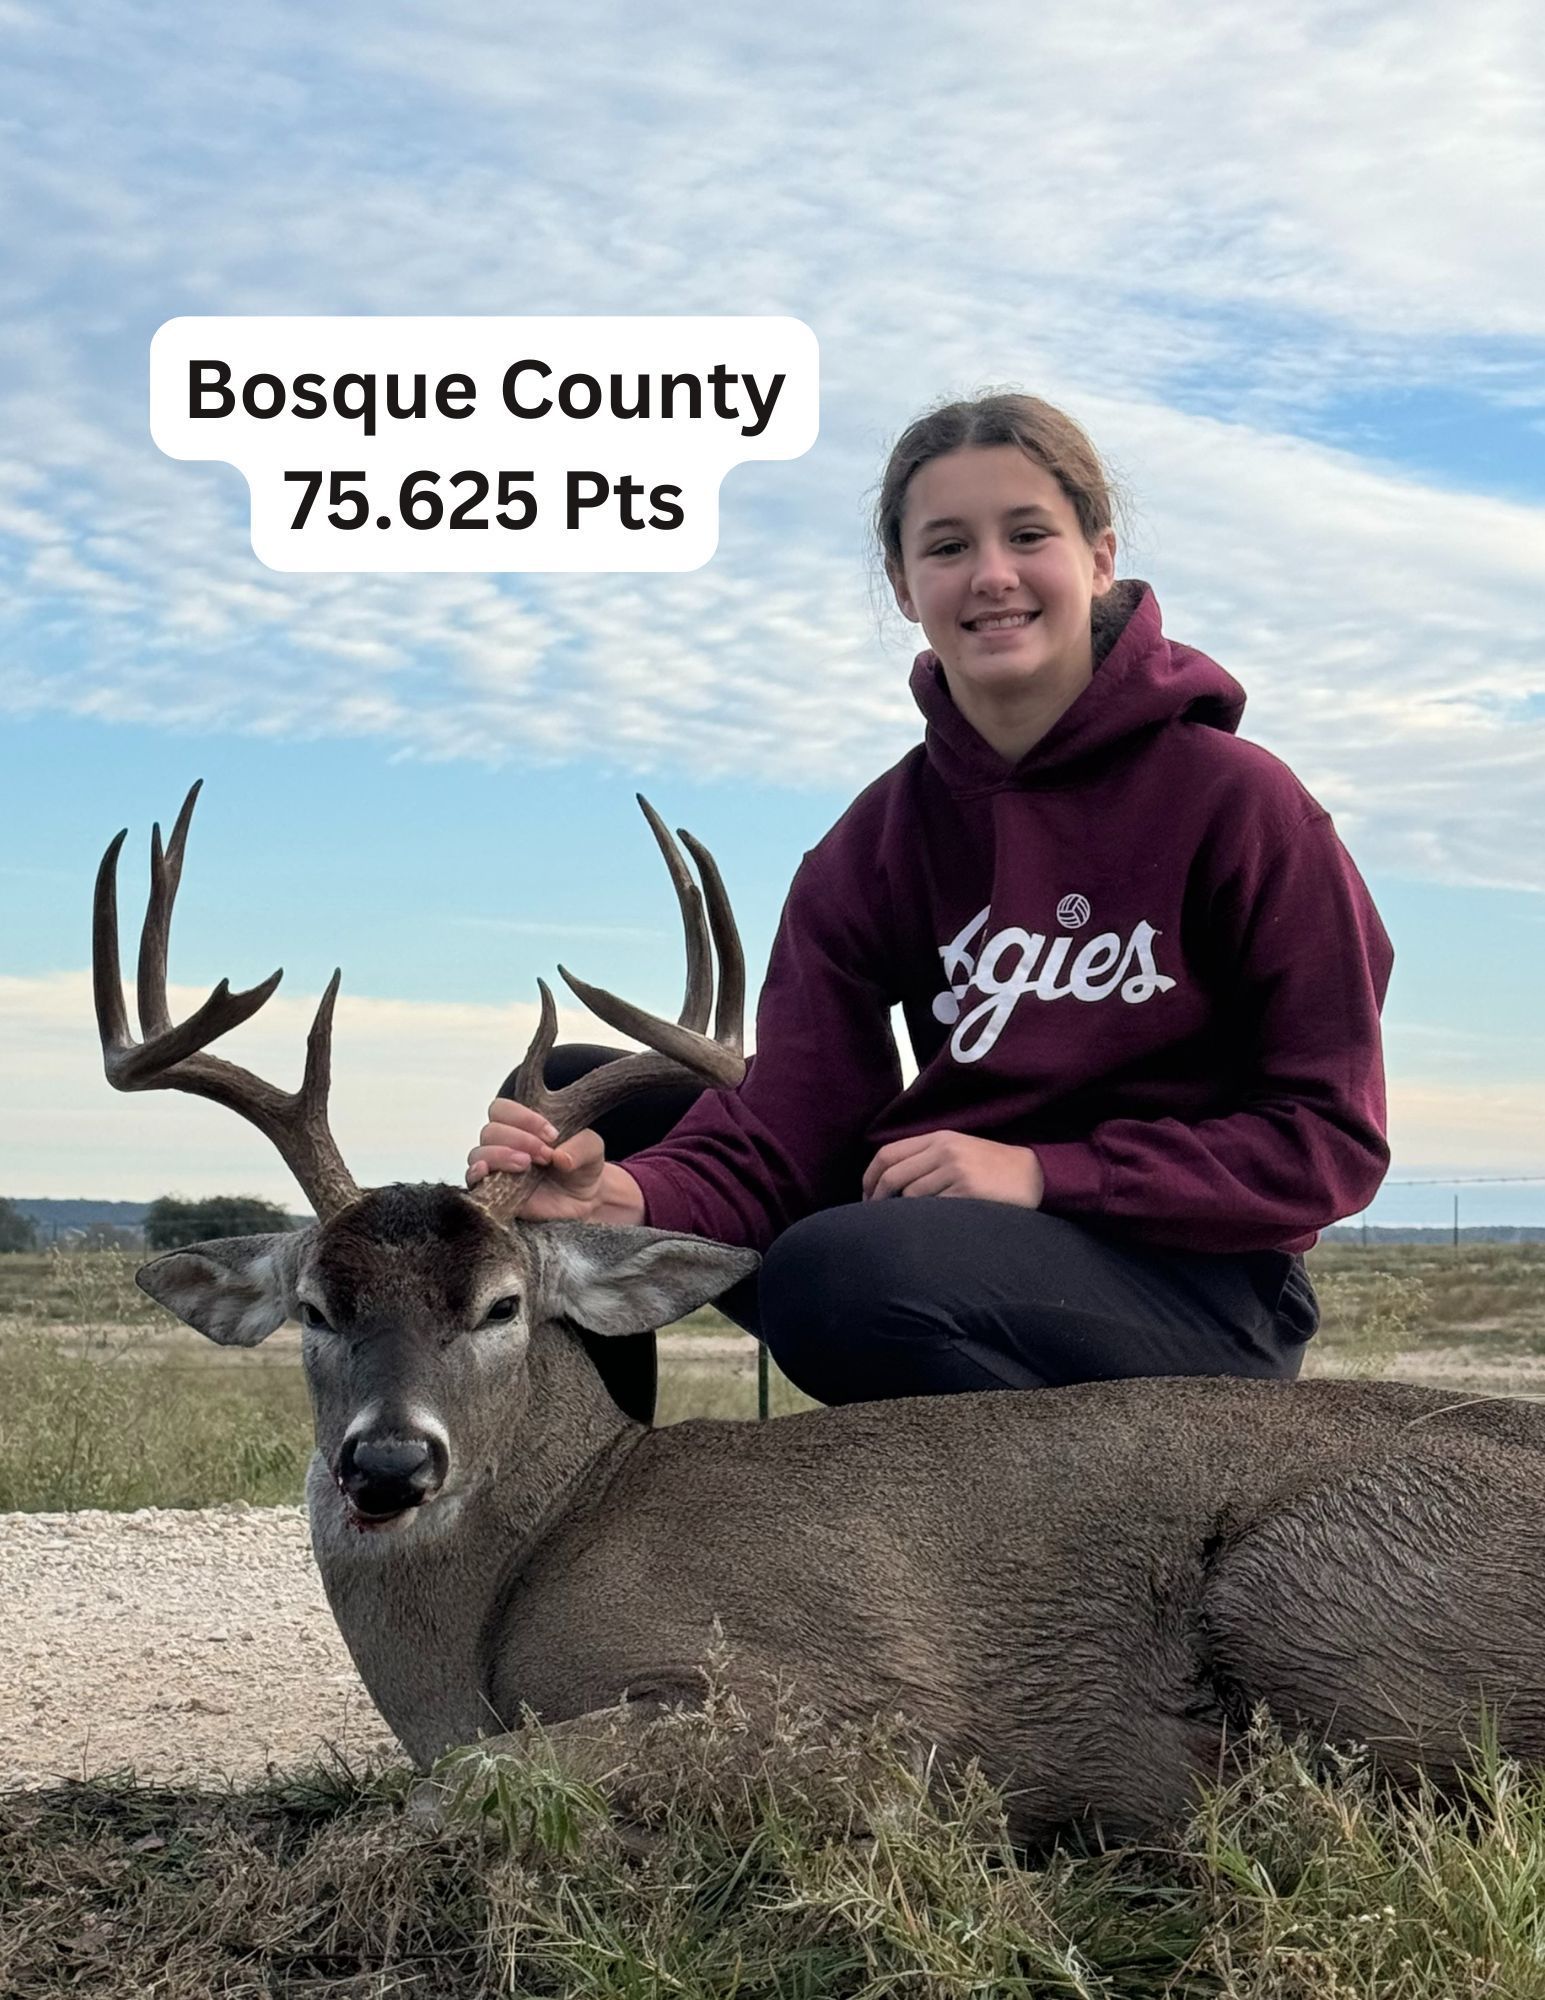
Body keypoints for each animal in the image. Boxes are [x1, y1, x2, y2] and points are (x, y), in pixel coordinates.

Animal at [95, 784, 1545, 1847]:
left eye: (503, 1304)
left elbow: (471, 1783)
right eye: (315, 1306)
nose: (389, 1462)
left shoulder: (849, 1707)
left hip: (1311, 1575)